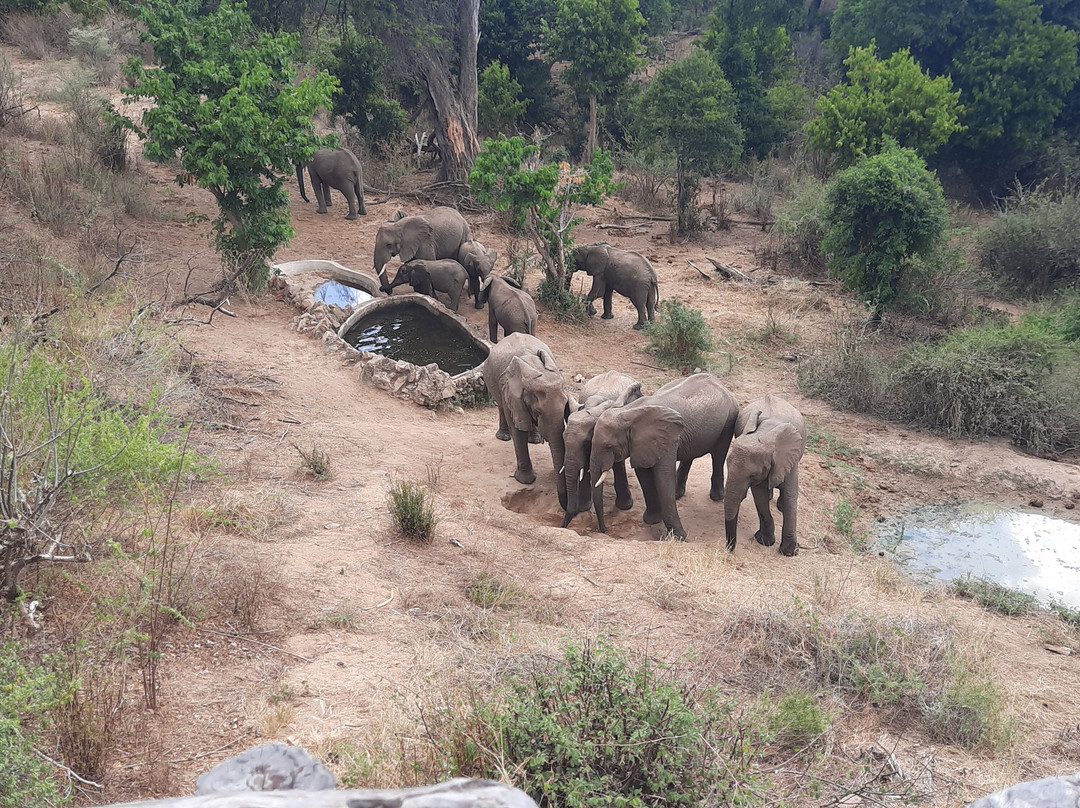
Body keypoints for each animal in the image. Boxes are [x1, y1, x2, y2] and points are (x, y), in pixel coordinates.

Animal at [483, 333, 575, 510]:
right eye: (538, 412)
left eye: (565, 408)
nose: (566, 506)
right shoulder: (509, 391)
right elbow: (517, 429)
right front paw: (525, 481)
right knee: (501, 407)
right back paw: (504, 437)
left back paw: (534, 439)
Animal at [589, 373, 739, 541]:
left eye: (609, 446)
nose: (604, 530)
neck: (628, 411)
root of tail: (721, 385)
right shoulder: (643, 444)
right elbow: (644, 476)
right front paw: (652, 521)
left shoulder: (666, 440)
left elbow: (663, 478)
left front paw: (680, 537)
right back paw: (678, 494)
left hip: (729, 420)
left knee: (718, 455)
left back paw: (716, 497)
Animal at [724, 395, 807, 557]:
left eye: (752, 476)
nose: (728, 549)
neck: (763, 433)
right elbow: (759, 495)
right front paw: (764, 541)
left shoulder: (789, 458)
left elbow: (790, 495)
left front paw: (790, 552)